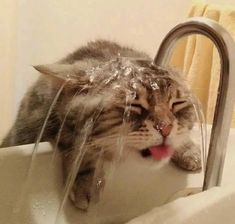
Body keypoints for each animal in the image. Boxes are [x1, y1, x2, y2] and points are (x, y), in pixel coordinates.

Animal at [0, 39, 201, 210]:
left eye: (176, 104)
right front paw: (85, 183)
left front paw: (188, 150)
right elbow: (82, 150)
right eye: (134, 105)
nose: (166, 128)